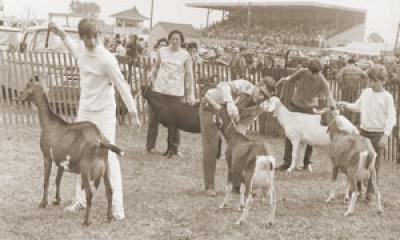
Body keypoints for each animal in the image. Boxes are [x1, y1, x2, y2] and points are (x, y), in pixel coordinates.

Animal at [16, 76, 123, 226]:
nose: (18, 97)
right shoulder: (61, 161)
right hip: (106, 168)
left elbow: (46, 181)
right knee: (110, 191)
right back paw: (109, 217)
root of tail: (100, 140)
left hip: (85, 169)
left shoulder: (47, 157)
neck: (49, 123)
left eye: (27, 86)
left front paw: (43, 203)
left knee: (89, 194)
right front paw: (56, 200)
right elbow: (58, 180)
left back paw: (87, 221)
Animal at [205, 94, 276, 226]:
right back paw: (270, 222)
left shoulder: (231, 169)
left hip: (250, 181)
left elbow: (228, 188)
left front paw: (223, 205)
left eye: (216, 112)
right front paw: (240, 206)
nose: (212, 119)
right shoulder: (240, 171)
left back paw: (240, 221)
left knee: (251, 199)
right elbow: (241, 189)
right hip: (268, 185)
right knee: (272, 200)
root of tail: (265, 159)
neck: (234, 137)